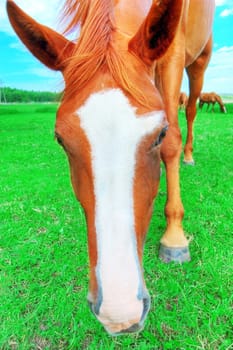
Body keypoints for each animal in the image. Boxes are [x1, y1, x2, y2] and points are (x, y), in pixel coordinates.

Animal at [6, 0, 215, 334]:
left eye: (159, 134)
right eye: (60, 140)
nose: (120, 314)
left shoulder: (173, 53)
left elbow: (173, 140)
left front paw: (174, 236)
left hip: (198, 62)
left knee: (191, 109)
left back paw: (189, 156)